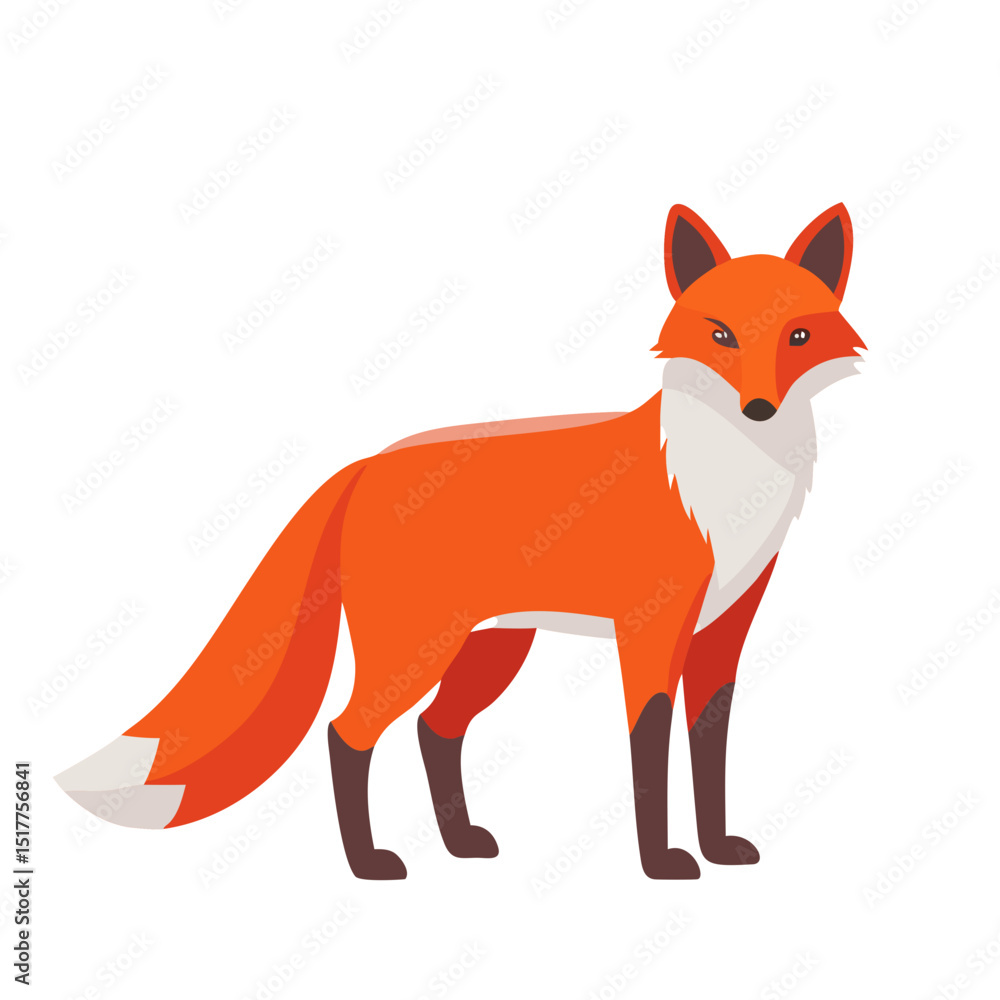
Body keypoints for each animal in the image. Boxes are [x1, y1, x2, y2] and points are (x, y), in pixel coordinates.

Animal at [56, 203, 864, 880]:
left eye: (798, 335)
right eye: (720, 334)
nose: (758, 409)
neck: (722, 485)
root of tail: (364, 465)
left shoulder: (722, 633)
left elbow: (709, 752)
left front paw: (719, 849)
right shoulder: (650, 632)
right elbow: (649, 750)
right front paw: (662, 863)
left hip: (489, 649)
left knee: (435, 730)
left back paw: (458, 844)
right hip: (415, 649)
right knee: (347, 733)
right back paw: (368, 864)